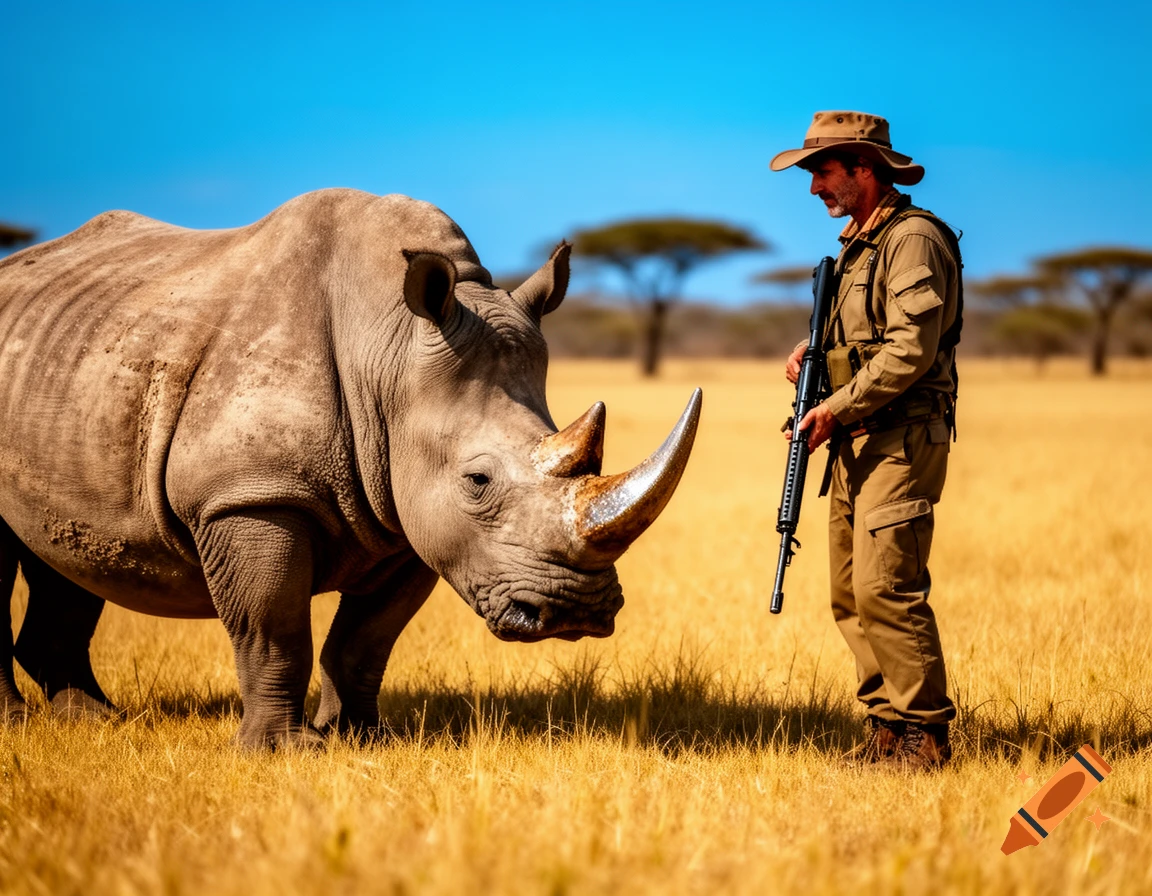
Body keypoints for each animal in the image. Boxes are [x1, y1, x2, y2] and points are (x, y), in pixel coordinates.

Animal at [0, 189, 701, 748]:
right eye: (477, 482)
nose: (576, 612)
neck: (388, 351)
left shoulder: (410, 517)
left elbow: (367, 638)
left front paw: (365, 739)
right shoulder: (251, 494)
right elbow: (274, 626)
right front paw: (284, 752)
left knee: (67, 561)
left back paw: (95, 722)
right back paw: (22, 726)